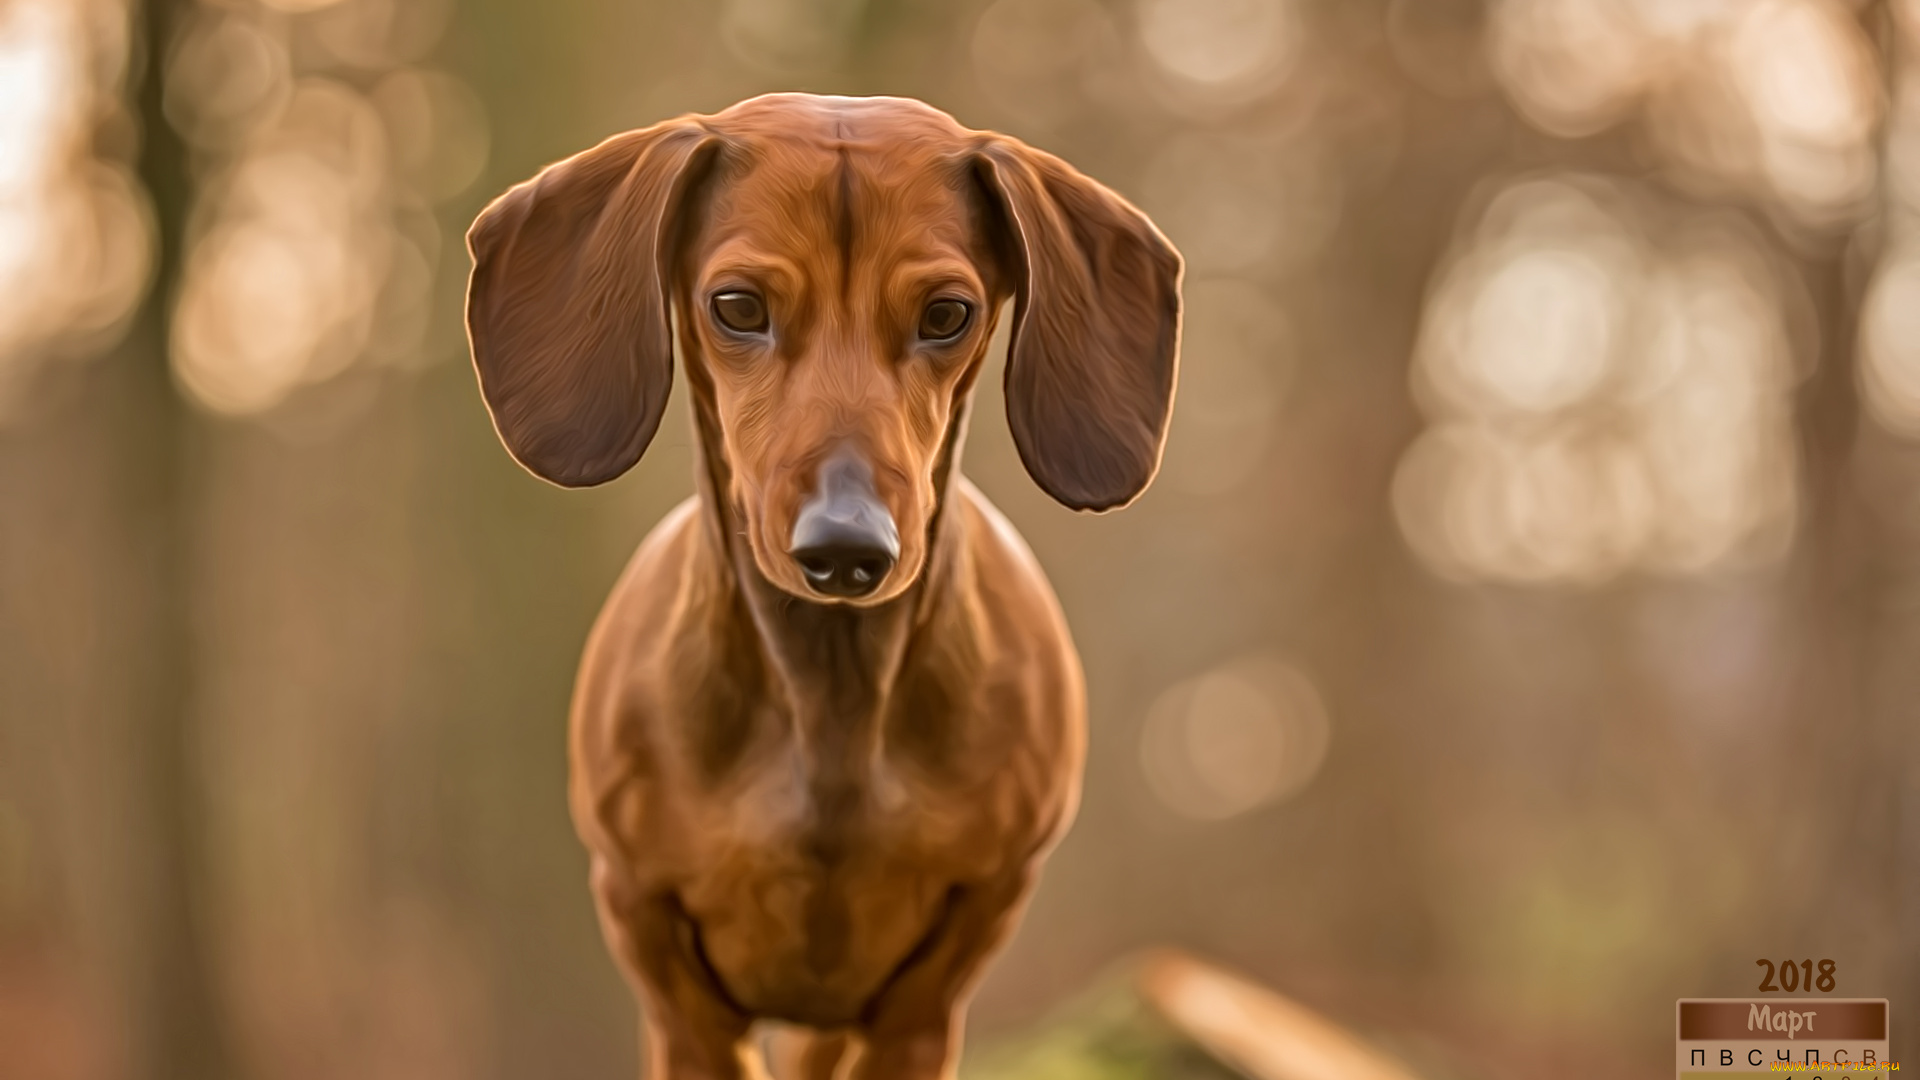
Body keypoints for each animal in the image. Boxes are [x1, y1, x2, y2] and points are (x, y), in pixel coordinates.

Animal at [466, 94, 1182, 1076]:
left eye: (948, 313)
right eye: (737, 306)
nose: (845, 549)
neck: (829, 699)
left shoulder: (946, 962)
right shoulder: (659, 951)